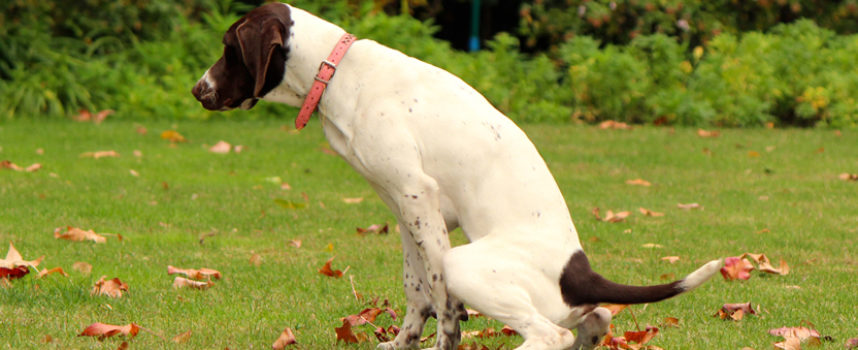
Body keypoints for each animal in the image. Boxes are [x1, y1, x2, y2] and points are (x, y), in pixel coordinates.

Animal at [194, 3, 724, 350]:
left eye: (229, 49)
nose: (199, 90)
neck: (340, 71)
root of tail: (580, 273)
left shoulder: (417, 197)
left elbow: (441, 300)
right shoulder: (406, 210)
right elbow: (416, 289)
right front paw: (403, 342)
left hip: (467, 264)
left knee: (549, 333)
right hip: (565, 303)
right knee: (595, 319)